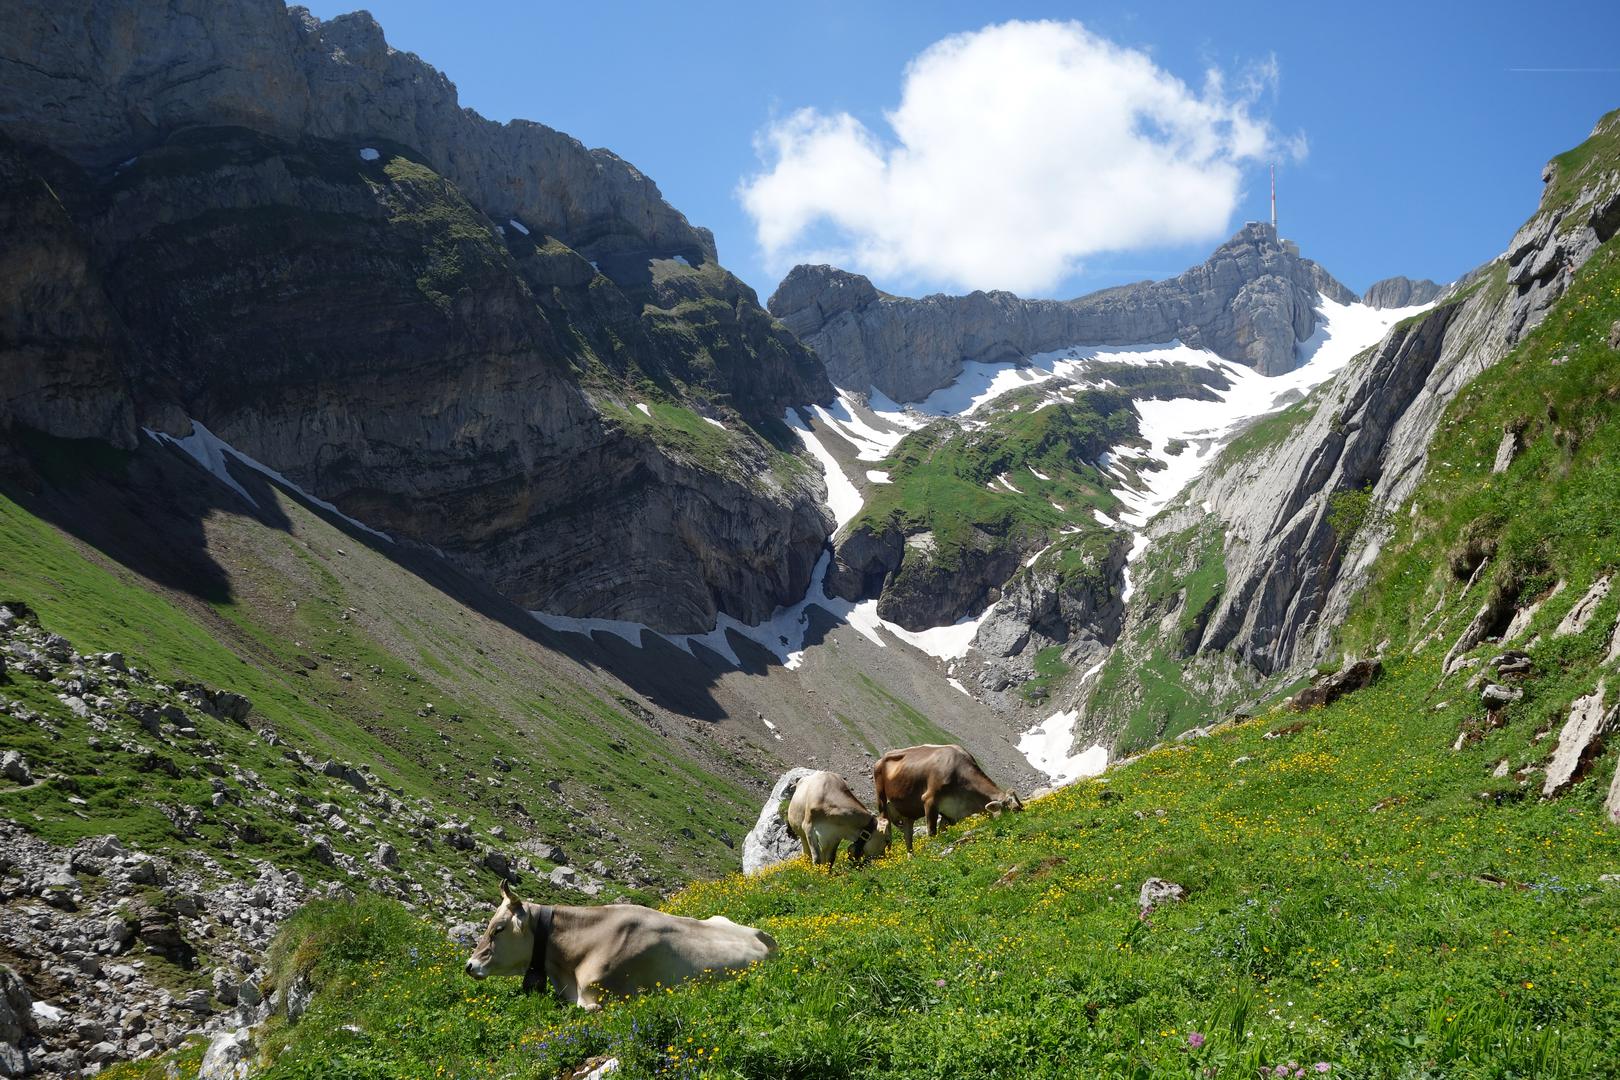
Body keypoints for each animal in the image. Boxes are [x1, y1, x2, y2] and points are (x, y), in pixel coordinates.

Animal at [874, 744, 1023, 854]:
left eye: (1021, 807)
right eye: (1014, 809)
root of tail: (880, 759)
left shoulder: (949, 812)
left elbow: (943, 833)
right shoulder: (930, 800)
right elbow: (932, 833)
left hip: (907, 810)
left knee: (907, 834)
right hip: (882, 801)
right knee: (888, 829)